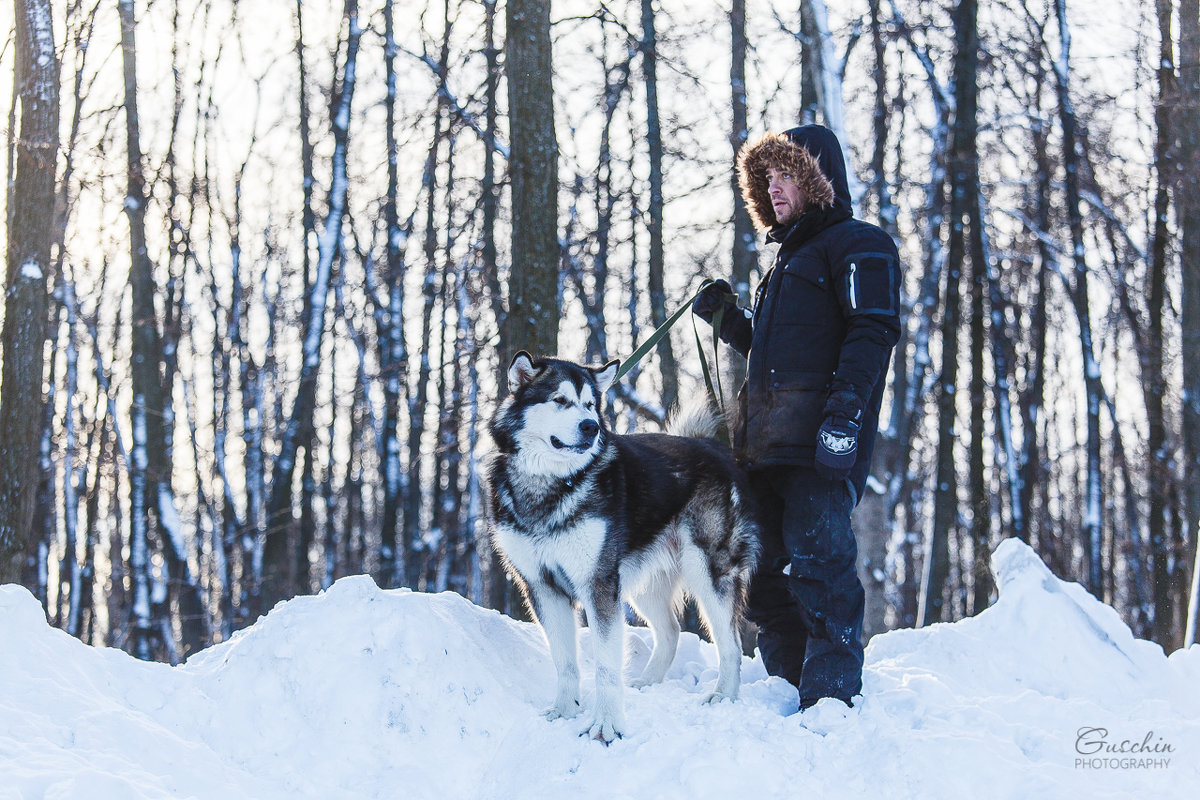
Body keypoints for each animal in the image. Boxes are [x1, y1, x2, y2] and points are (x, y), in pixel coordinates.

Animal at [480, 352, 753, 743]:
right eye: (560, 400)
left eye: (590, 405)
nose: (591, 427)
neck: (551, 483)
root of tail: (709, 445)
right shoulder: (542, 587)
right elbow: (565, 661)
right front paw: (564, 710)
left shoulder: (598, 585)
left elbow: (607, 667)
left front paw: (606, 726)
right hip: (643, 584)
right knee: (671, 631)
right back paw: (647, 682)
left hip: (707, 571)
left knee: (730, 643)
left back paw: (723, 695)